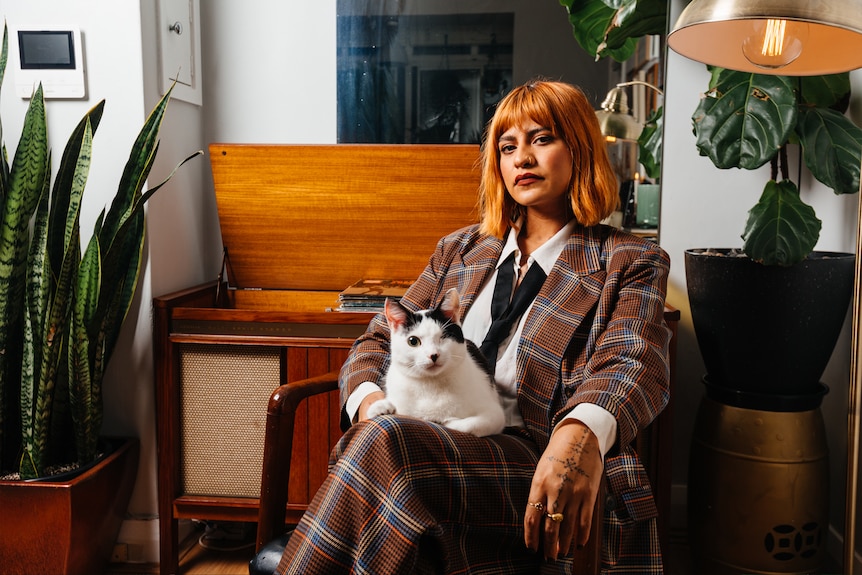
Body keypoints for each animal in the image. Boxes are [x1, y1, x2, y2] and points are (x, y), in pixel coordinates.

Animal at [368, 288, 510, 436]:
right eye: (413, 341)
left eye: (444, 337)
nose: (433, 355)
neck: (431, 384)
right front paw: (380, 406)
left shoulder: (495, 414)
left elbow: (471, 424)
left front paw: (448, 421)